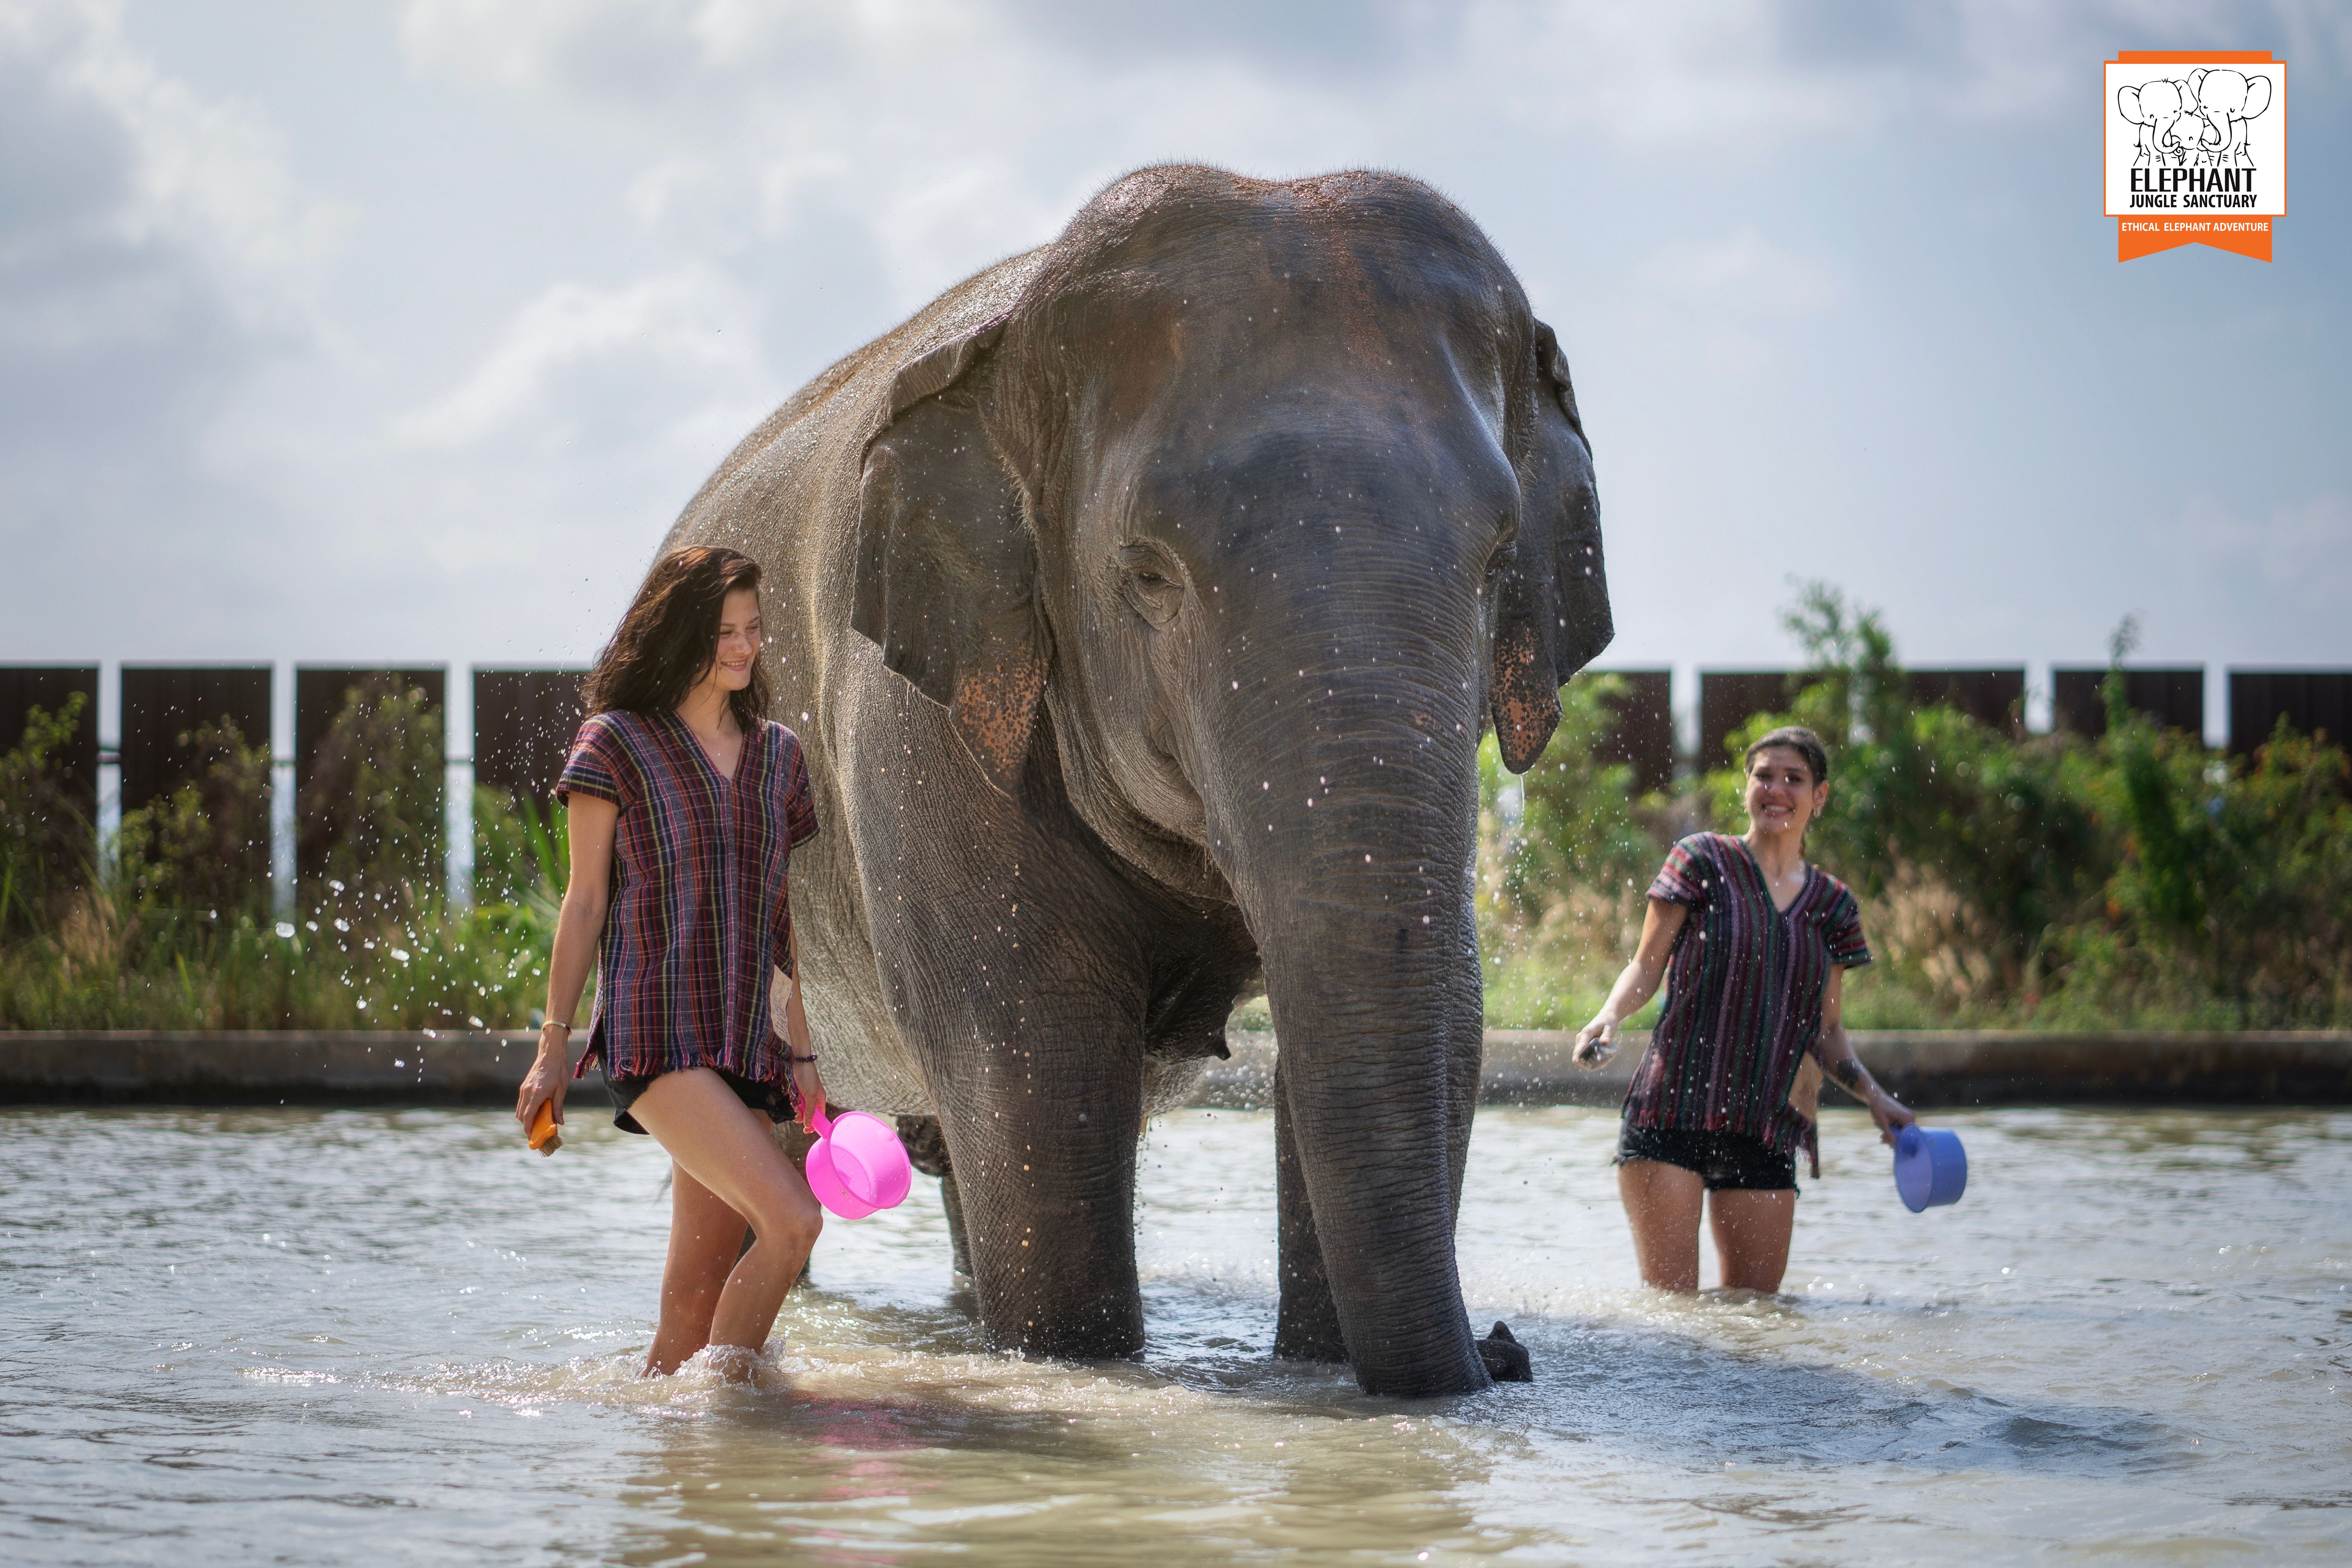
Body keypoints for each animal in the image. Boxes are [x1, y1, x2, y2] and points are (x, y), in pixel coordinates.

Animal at [661, 165, 1609, 1397]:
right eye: (1146, 575)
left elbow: (1441, 1018)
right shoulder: (921, 728)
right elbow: (1032, 1057)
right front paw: (1073, 1363)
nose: (1504, 1350)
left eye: (1499, 563)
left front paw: (1320, 1367)